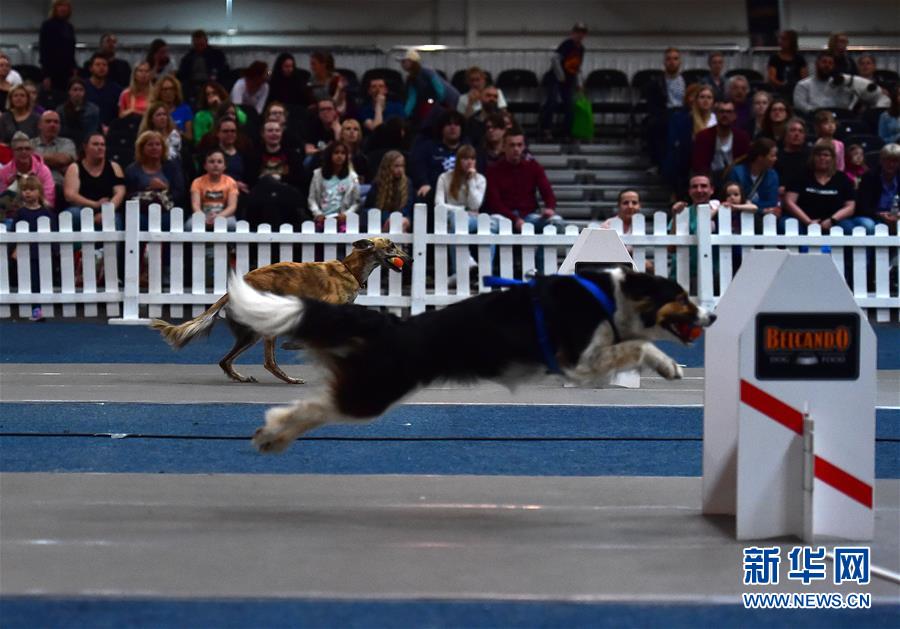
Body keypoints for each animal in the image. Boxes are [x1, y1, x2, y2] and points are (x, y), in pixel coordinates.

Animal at [151, 237, 412, 380]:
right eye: (391, 246)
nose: (409, 259)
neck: (350, 269)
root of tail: (231, 291)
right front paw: (295, 345)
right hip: (265, 327)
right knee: (269, 362)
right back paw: (290, 378)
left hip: (250, 334)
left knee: (225, 361)